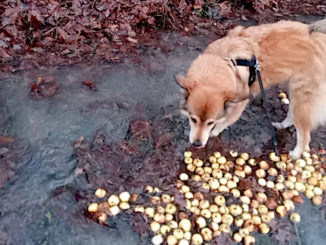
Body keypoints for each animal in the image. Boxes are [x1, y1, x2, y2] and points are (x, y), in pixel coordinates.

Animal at [176, 18, 326, 159]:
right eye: (193, 119)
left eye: (210, 122)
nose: (197, 144)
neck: (222, 63)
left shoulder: (238, 105)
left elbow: (225, 121)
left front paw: (214, 131)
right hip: (294, 94)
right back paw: (281, 125)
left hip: (302, 97)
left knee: (305, 134)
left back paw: (295, 154)